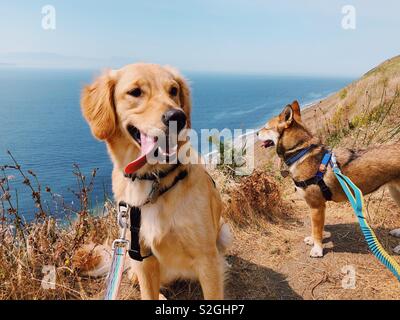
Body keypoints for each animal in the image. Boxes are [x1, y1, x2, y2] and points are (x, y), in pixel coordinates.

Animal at [78, 63, 231, 300]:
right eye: (135, 92)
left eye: (174, 90)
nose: (177, 116)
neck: (153, 178)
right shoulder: (142, 257)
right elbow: (147, 292)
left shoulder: (208, 260)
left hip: (223, 233)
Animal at [258, 102, 400, 258]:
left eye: (266, 127)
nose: (256, 133)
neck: (301, 152)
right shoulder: (314, 208)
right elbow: (315, 228)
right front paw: (312, 240)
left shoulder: (317, 206)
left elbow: (317, 230)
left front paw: (317, 249)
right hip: (395, 193)